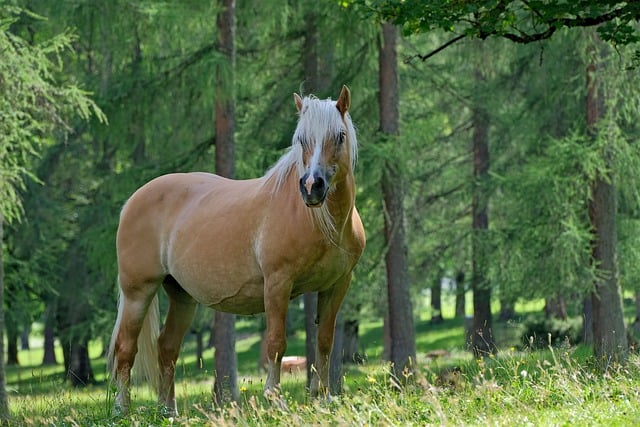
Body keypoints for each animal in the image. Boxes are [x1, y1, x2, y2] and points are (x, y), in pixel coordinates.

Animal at [107, 85, 366, 416]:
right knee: (126, 348)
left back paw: (169, 412)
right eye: (300, 139)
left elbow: (324, 341)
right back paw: (121, 409)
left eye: (340, 136)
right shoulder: (278, 284)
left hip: (182, 296)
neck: (320, 222)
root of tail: (133, 201)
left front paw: (322, 398)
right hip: (138, 292)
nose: (311, 187)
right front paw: (275, 400)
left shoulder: (336, 286)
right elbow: (276, 343)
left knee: (167, 347)